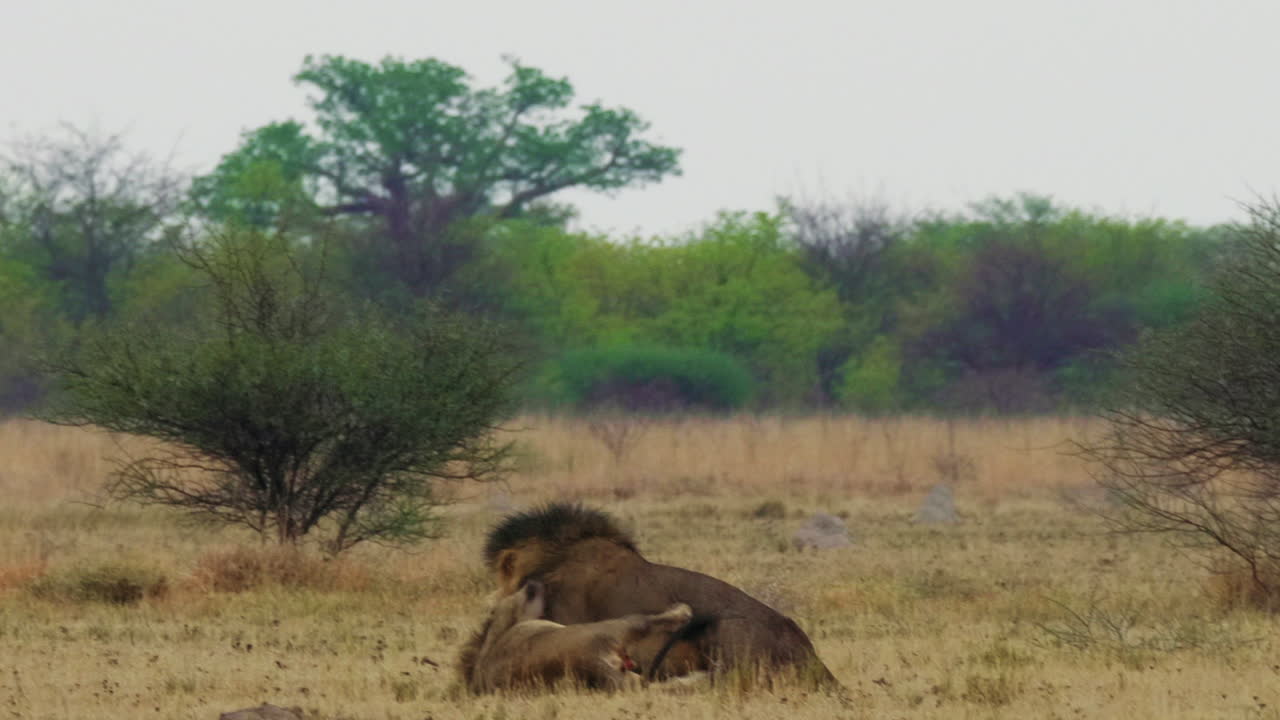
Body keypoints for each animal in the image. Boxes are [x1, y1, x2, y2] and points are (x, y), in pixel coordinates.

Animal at [458, 579, 698, 693]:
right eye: (524, 595)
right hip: (613, 627)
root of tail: (592, 663)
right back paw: (682, 612)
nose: (532, 583)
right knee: (645, 621)